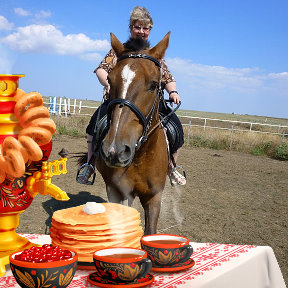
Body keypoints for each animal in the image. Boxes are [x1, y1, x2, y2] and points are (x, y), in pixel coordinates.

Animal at [94, 32, 170, 235]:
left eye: (154, 84)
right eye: (109, 80)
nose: (115, 149)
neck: (140, 157)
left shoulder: (154, 197)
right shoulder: (114, 191)